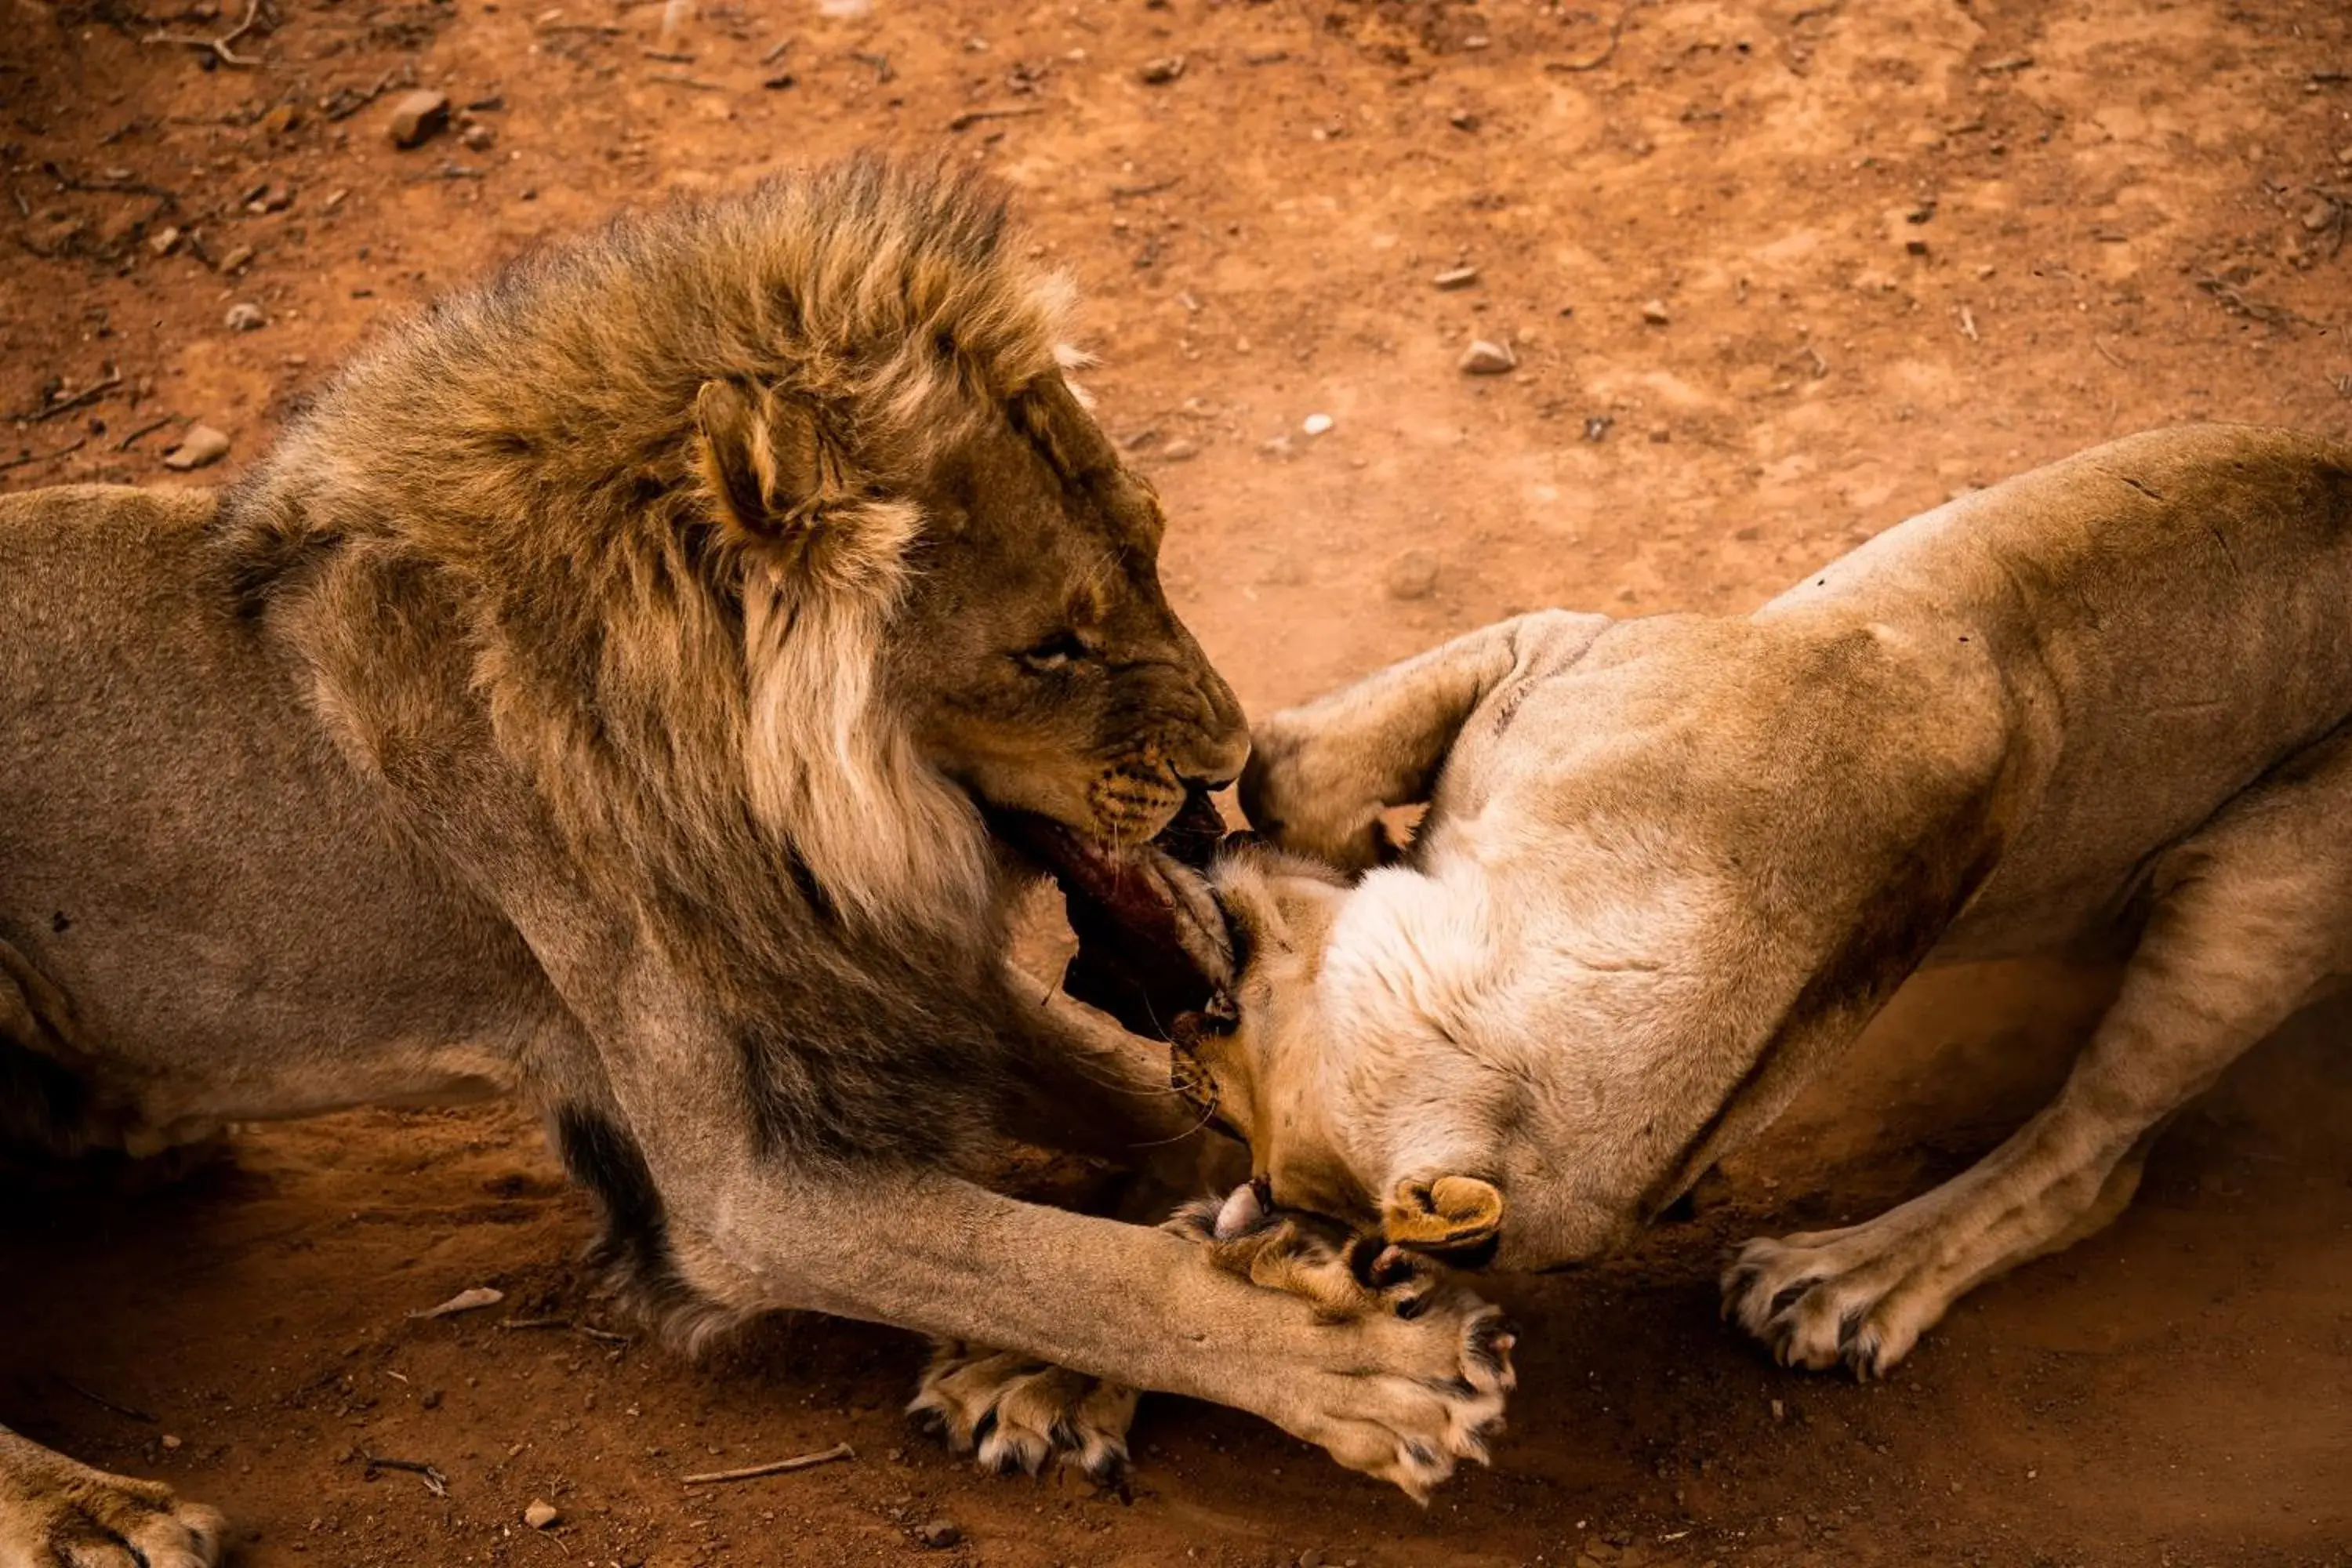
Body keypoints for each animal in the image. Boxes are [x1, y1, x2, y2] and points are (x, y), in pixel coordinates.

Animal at [0, 162, 1505, 1568]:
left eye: (1154, 547)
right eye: (1049, 649)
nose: (1229, 766)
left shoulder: (875, 982)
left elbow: (1158, 1120)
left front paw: (1056, 1364)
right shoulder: (745, 1182)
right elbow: (1066, 1268)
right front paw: (1376, 1373)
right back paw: (95, 1510)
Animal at [1129, 423, 2352, 1382]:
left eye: (1269, 1159)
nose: (1179, 1049)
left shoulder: (1555, 639)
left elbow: (1288, 762)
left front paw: (1301, 845)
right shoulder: (1556, 645)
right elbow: (1300, 770)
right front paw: (1328, 846)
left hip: (2265, 890)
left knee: (2088, 1159)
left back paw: (1835, 1288)